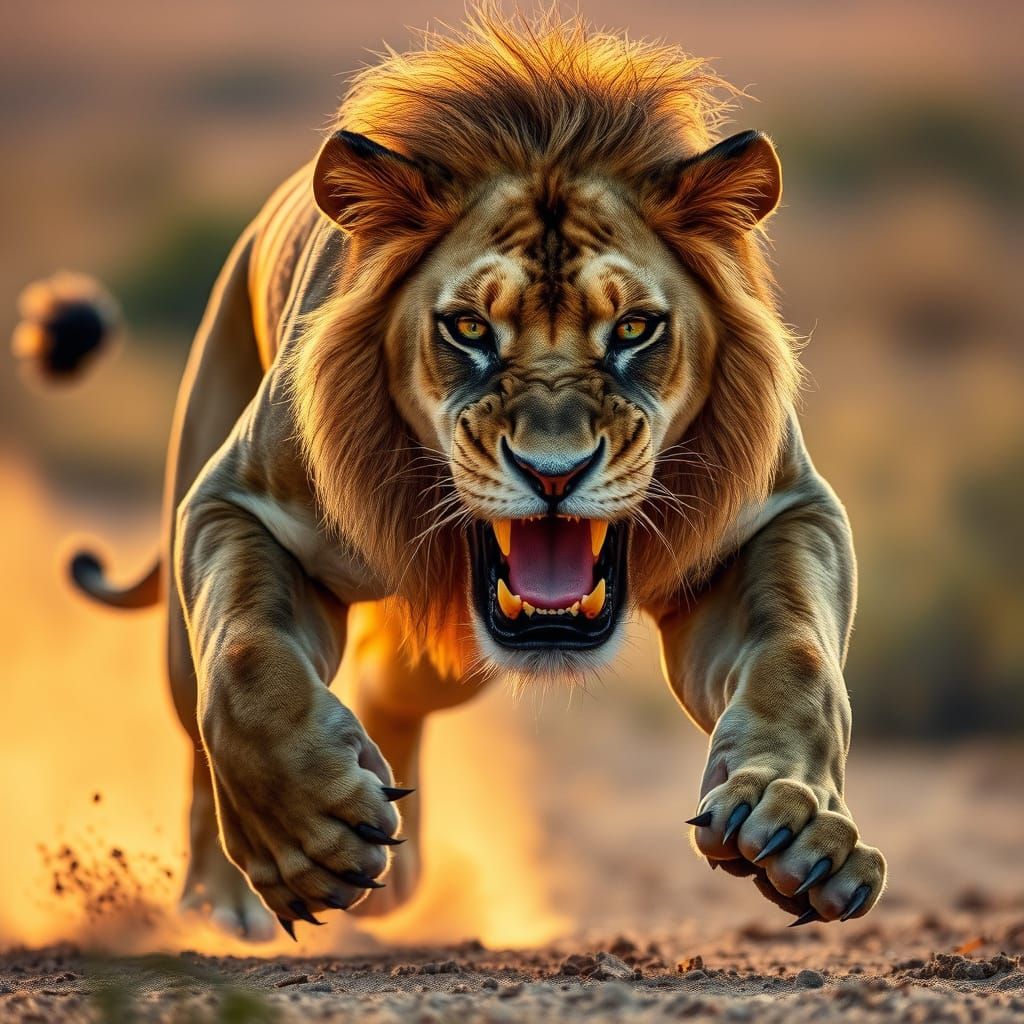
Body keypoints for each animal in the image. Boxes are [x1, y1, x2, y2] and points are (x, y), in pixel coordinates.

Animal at [18, 9, 885, 940]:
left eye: (634, 329)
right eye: (469, 328)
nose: (553, 472)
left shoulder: (781, 516)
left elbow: (799, 656)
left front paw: (795, 824)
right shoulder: (236, 503)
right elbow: (246, 660)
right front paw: (308, 838)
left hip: (450, 659)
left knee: (387, 683)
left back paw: (394, 860)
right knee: (199, 722)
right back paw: (228, 897)